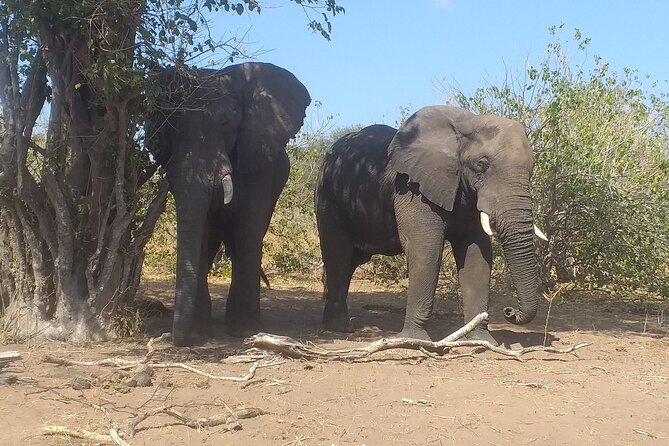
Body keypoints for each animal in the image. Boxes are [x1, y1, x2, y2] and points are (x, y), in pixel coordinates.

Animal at [150, 62, 310, 346]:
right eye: (171, 127)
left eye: (226, 123)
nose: (176, 339)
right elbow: (201, 233)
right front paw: (199, 333)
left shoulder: (259, 162)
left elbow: (248, 231)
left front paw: (244, 331)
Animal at [315, 106, 546, 343]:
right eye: (481, 165)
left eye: (532, 168)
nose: (509, 311)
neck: (466, 124)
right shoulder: (412, 189)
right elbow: (426, 250)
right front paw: (415, 340)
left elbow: (476, 256)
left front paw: (481, 340)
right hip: (328, 195)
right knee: (338, 253)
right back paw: (340, 327)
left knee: (352, 261)